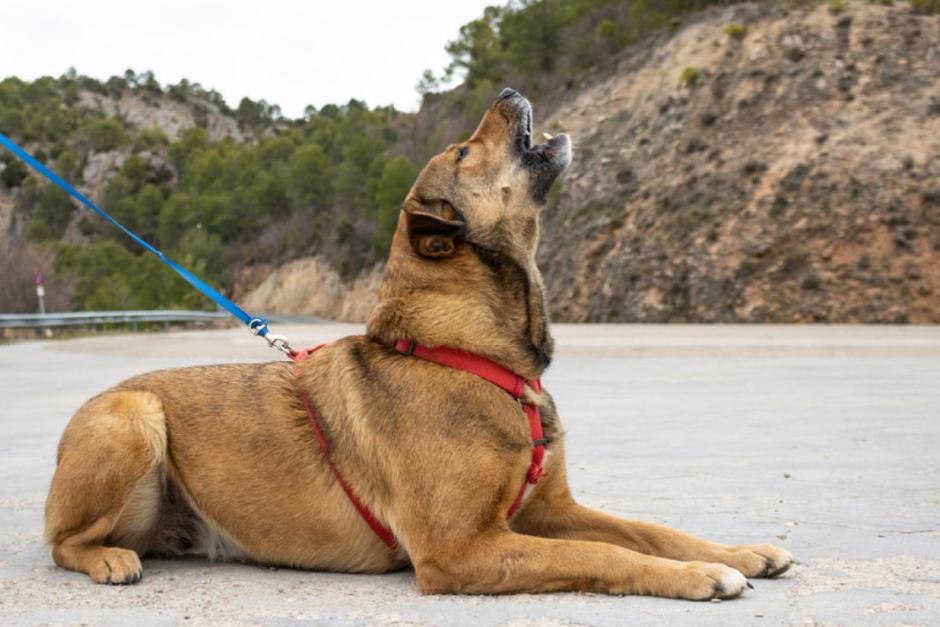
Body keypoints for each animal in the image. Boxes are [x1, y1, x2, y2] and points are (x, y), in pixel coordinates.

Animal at [46, 87, 792, 600]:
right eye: (463, 152)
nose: (508, 91)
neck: (472, 351)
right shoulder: (461, 548)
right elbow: (609, 556)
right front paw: (699, 574)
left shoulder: (554, 510)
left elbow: (649, 529)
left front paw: (735, 551)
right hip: (133, 418)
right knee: (60, 541)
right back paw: (107, 558)